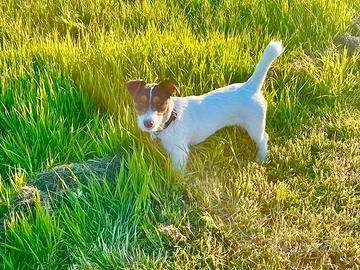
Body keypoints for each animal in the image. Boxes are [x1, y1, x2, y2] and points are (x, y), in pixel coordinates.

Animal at [126, 40, 284, 170]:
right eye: (139, 103)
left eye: (160, 104)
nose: (148, 123)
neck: (171, 119)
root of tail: (250, 86)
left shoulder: (179, 151)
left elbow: (177, 171)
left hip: (255, 125)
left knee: (263, 138)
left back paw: (261, 158)